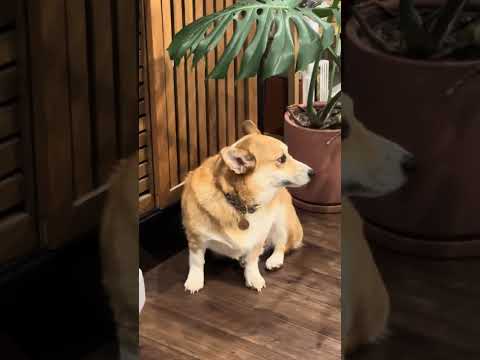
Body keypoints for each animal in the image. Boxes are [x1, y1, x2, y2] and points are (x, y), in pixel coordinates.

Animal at [181, 120, 316, 292]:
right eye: (282, 159)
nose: (313, 172)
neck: (240, 203)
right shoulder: (195, 238)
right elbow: (197, 261)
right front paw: (195, 280)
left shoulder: (258, 237)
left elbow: (253, 259)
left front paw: (253, 278)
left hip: (282, 220)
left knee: (282, 243)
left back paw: (274, 260)